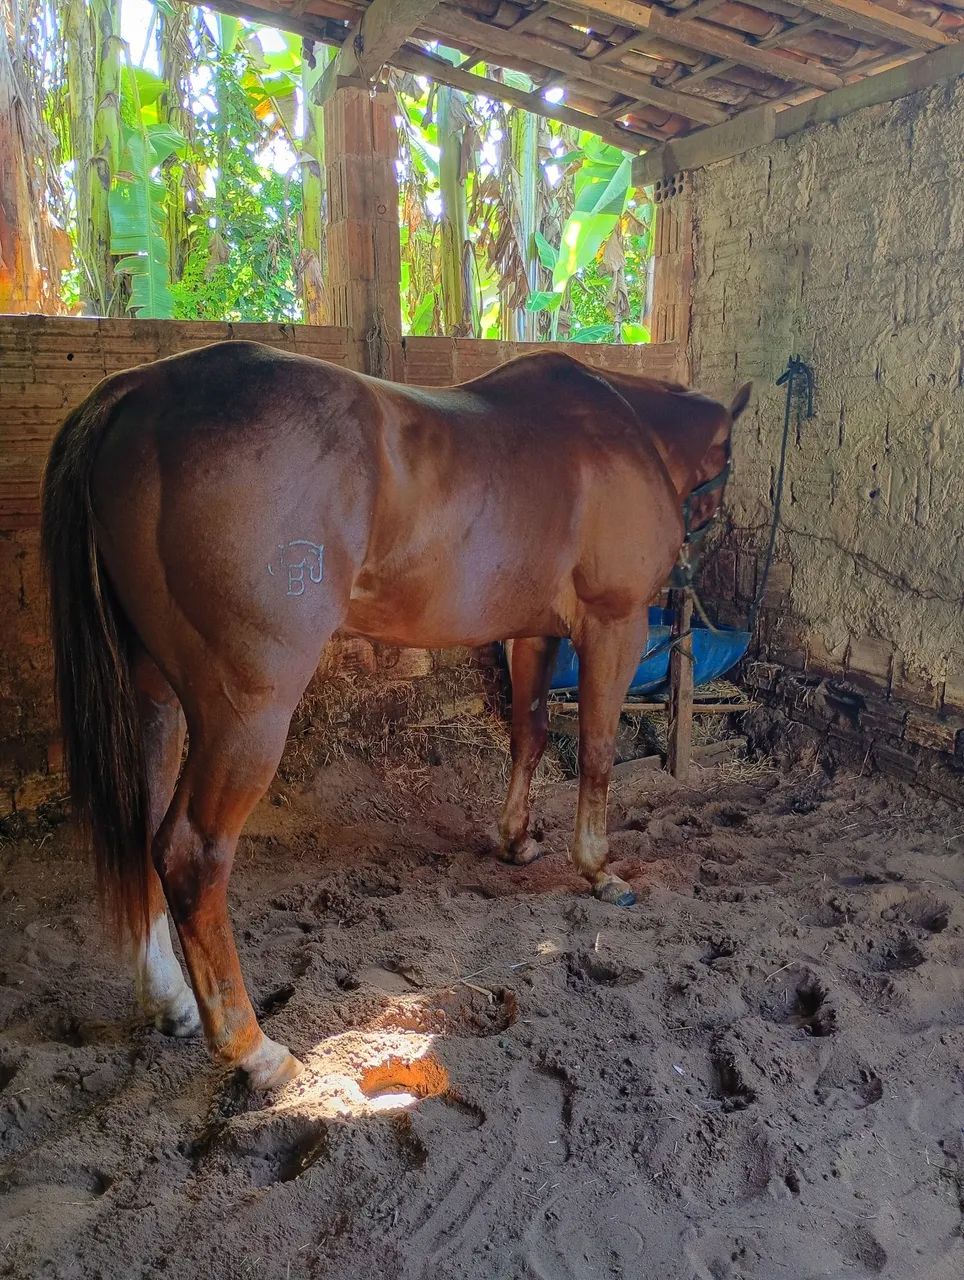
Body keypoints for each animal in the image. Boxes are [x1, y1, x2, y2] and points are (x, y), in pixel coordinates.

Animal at [41, 342, 750, 1090]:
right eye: (725, 466)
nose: (690, 571)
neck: (622, 434)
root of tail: (139, 392)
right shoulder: (613, 626)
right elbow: (596, 750)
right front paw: (598, 870)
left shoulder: (532, 634)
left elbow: (528, 735)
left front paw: (517, 842)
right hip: (247, 713)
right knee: (190, 855)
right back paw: (254, 1050)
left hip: (155, 699)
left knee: (142, 830)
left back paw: (172, 1002)